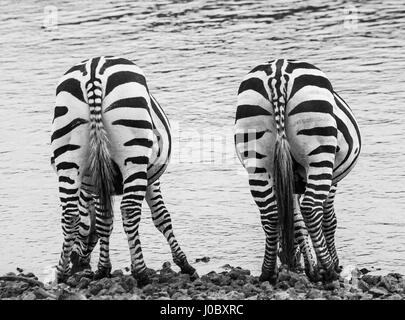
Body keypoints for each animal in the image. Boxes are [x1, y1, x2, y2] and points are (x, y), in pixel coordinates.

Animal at [51, 55, 196, 284]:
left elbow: (103, 221)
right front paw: (185, 264)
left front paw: (103, 268)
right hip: (133, 153)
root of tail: (93, 70)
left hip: (68, 154)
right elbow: (162, 216)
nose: (77, 264)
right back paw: (141, 272)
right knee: (129, 209)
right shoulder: (150, 178)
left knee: (69, 214)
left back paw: (62, 273)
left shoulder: (98, 182)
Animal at [232, 59, 362, 282]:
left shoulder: (288, 180)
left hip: (256, 156)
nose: (288, 261)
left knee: (270, 213)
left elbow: (296, 221)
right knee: (310, 207)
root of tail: (278, 72)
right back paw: (328, 269)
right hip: (318, 149)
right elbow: (328, 219)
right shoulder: (332, 180)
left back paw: (268, 271)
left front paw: (309, 266)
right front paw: (328, 264)